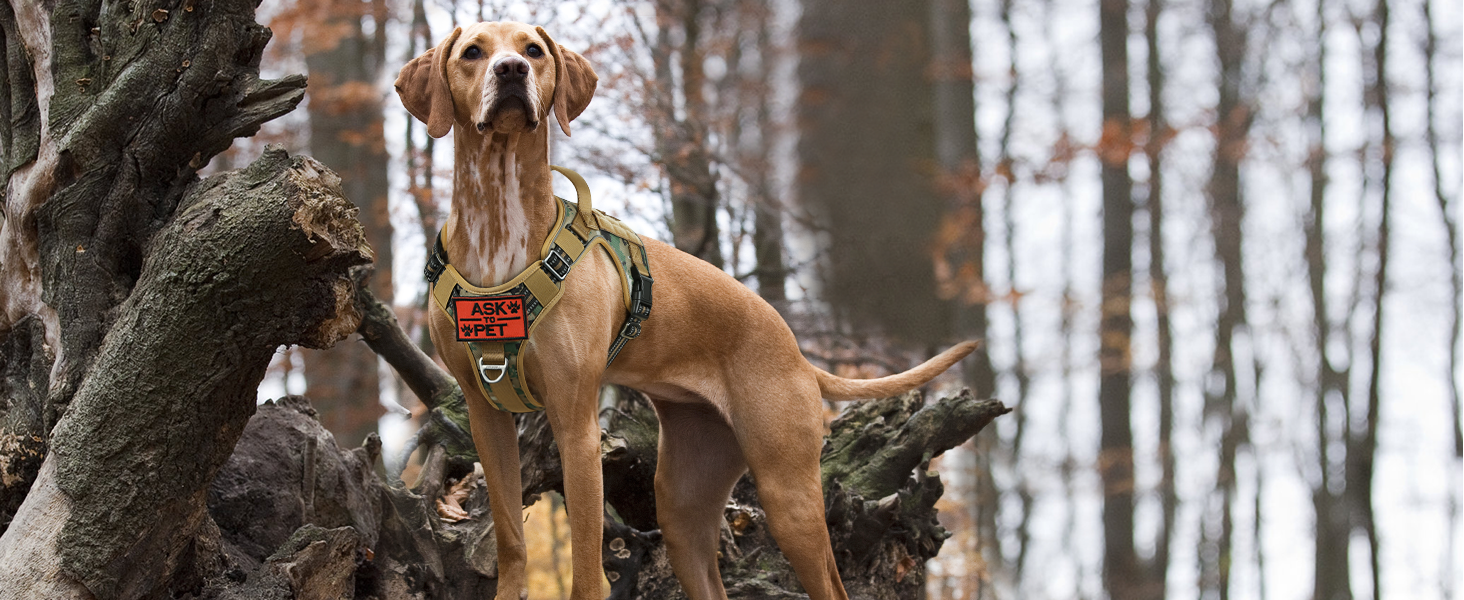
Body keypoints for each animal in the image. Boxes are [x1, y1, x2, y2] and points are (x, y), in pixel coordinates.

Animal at [395, 21, 977, 597]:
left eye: (533, 51)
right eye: (473, 52)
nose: (512, 70)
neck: (498, 224)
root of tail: (796, 353)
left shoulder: (577, 425)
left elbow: (586, 566)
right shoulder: (485, 417)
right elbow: (510, 539)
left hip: (788, 491)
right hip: (682, 504)